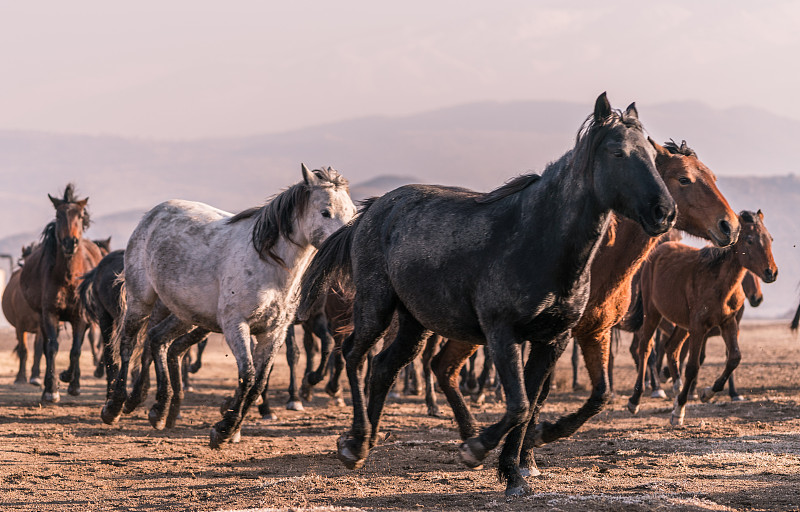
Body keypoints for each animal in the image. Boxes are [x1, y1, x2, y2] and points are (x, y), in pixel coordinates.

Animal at [20, 182, 103, 402]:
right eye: (58, 215)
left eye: (80, 215)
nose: (69, 242)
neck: (68, 278)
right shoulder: (49, 313)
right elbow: (52, 347)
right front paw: (51, 390)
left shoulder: (80, 317)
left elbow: (75, 350)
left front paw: (72, 382)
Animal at [98, 165, 354, 448]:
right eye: (325, 211)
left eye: (353, 211)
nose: (346, 251)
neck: (268, 263)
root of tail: (153, 214)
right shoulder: (236, 325)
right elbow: (248, 376)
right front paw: (223, 429)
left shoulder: (274, 333)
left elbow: (258, 383)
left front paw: (229, 429)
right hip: (141, 299)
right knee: (128, 343)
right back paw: (115, 406)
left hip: (185, 314)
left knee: (157, 340)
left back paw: (159, 409)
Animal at [296, 93, 676, 496]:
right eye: (618, 152)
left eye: (651, 155)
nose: (664, 212)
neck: (538, 239)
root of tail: (369, 212)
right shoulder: (502, 332)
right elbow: (519, 404)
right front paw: (477, 448)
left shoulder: (552, 339)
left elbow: (539, 404)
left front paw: (516, 470)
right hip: (376, 306)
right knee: (354, 354)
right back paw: (354, 442)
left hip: (415, 322)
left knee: (384, 367)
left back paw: (365, 444)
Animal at [432, 138, 744, 474]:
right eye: (684, 179)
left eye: (711, 176)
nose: (730, 226)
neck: (597, 259)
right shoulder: (556, 336)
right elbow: (539, 395)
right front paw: (526, 455)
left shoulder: (595, 332)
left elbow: (596, 396)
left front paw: (538, 439)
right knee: (443, 367)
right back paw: (473, 437)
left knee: (443, 367)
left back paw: (471, 436)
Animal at [628, 210, 780, 426]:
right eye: (749, 240)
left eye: (770, 238)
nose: (771, 272)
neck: (718, 283)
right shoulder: (699, 328)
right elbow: (693, 366)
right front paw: (679, 410)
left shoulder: (728, 323)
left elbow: (734, 357)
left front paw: (707, 393)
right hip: (652, 313)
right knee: (645, 349)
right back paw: (636, 399)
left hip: (682, 324)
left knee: (671, 348)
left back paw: (676, 389)